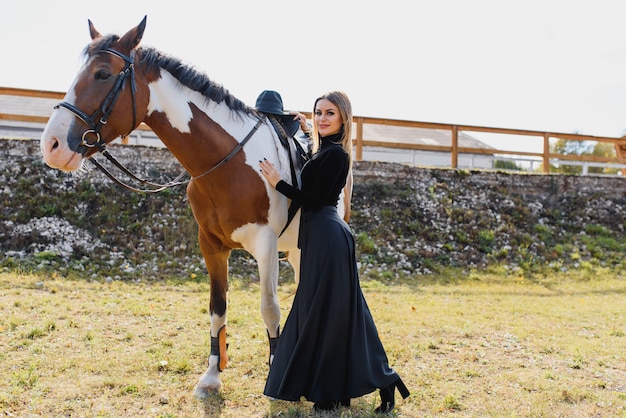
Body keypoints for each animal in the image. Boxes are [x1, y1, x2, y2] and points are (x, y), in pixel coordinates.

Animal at [39, 14, 352, 396]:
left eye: (101, 74)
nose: (52, 144)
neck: (229, 162)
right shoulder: (211, 246)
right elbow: (217, 307)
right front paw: (213, 375)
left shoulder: (265, 246)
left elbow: (269, 308)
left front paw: (275, 368)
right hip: (293, 250)